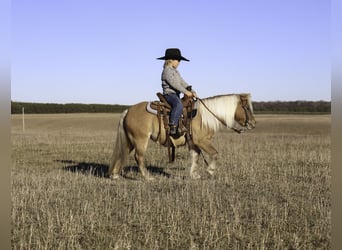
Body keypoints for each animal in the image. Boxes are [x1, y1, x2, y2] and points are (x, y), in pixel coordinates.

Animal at [108, 94, 255, 180]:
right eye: (247, 107)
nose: (253, 123)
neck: (205, 117)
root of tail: (128, 110)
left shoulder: (193, 143)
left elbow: (195, 156)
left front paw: (194, 174)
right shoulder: (202, 141)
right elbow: (214, 153)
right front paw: (211, 170)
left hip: (130, 140)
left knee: (123, 153)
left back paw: (115, 175)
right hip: (140, 140)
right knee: (138, 157)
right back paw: (148, 177)